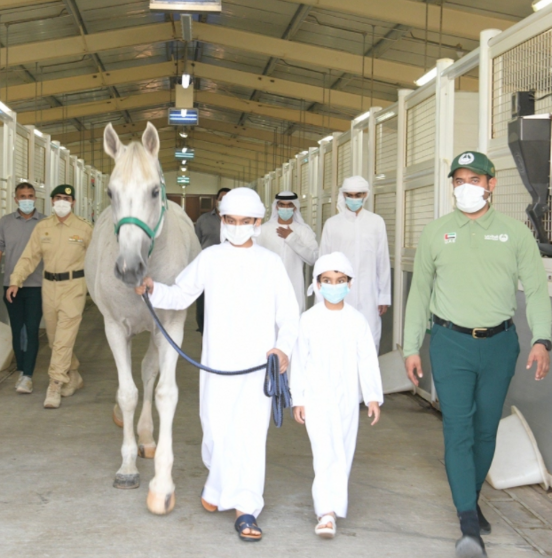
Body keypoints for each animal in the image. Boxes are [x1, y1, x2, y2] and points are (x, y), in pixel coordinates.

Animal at [85, 121, 199, 516]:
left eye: (153, 191)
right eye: (110, 192)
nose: (129, 268)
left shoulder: (172, 329)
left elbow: (163, 392)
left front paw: (162, 485)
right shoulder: (114, 328)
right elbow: (127, 393)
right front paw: (127, 467)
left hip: (155, 330)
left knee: (150, 373)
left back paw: (147, 437)